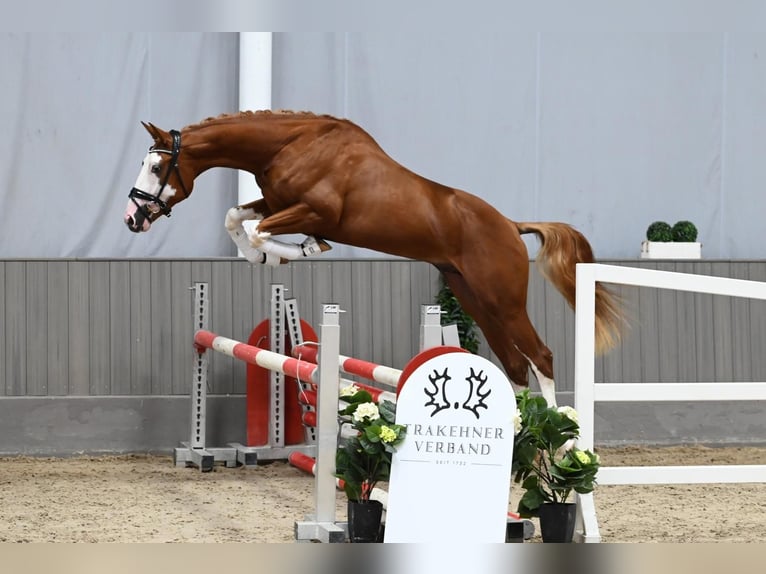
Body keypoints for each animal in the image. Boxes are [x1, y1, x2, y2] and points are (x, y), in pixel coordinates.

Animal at [121, 110, 624, 408]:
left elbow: (266, 233)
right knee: (516, 366)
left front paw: (294, 252)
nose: (132, 218)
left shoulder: (314, 211)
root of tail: (511, 225)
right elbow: (236, 216)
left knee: (540, 357)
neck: (290, 144)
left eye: (155, 166)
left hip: (503, 300)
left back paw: (554, 441)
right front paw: (256, 255)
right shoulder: (276, 202)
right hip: (475, 298)